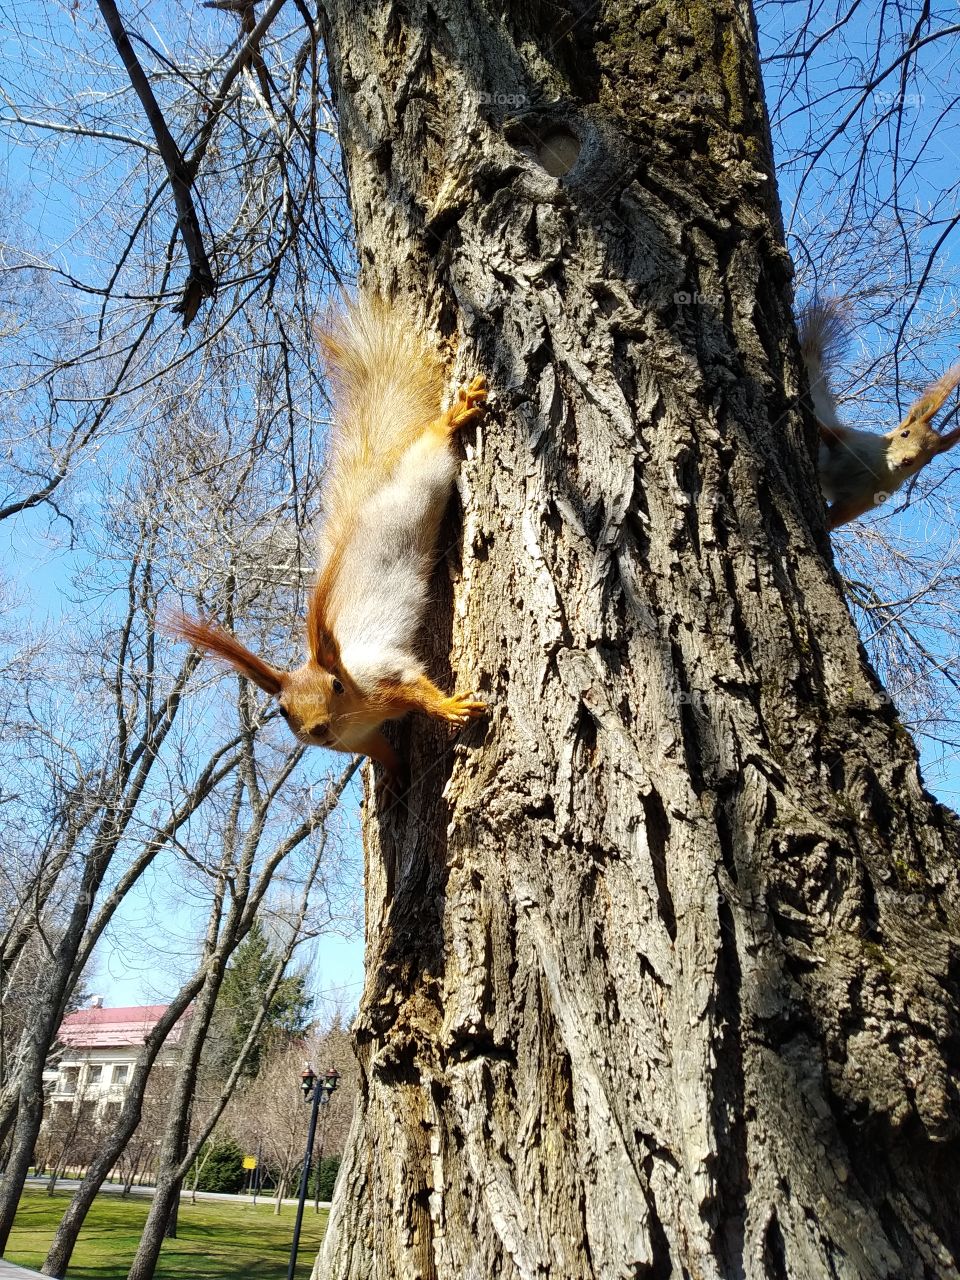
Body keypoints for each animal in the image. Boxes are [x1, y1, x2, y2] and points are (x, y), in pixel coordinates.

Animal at [172, 296, 489, 782]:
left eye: (336, 685)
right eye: (281, 711)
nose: (318, 729)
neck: (355, 712)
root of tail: (367, 502)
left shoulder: (384, 673)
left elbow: (419, 688)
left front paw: (449, 707)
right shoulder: (361, 740)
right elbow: (384, 753)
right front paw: (396, 783)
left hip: (421, 484)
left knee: (431, 450)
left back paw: (454, 416)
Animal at [798, 299, 960, 529]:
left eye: (929, 459)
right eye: (905, 434)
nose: (908, 460)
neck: (879, 466)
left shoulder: (860, 503)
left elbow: (834, 520)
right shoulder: (849, 438)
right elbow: (829, 432)